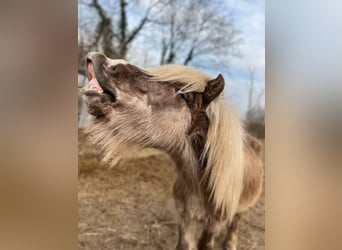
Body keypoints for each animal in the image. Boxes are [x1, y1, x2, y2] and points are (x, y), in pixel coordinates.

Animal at [81, 52, 264, 250]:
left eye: (182, 94)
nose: (104, 61)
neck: (202, 187)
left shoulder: (213, 226)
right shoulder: (185, 220)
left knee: (236, 222)